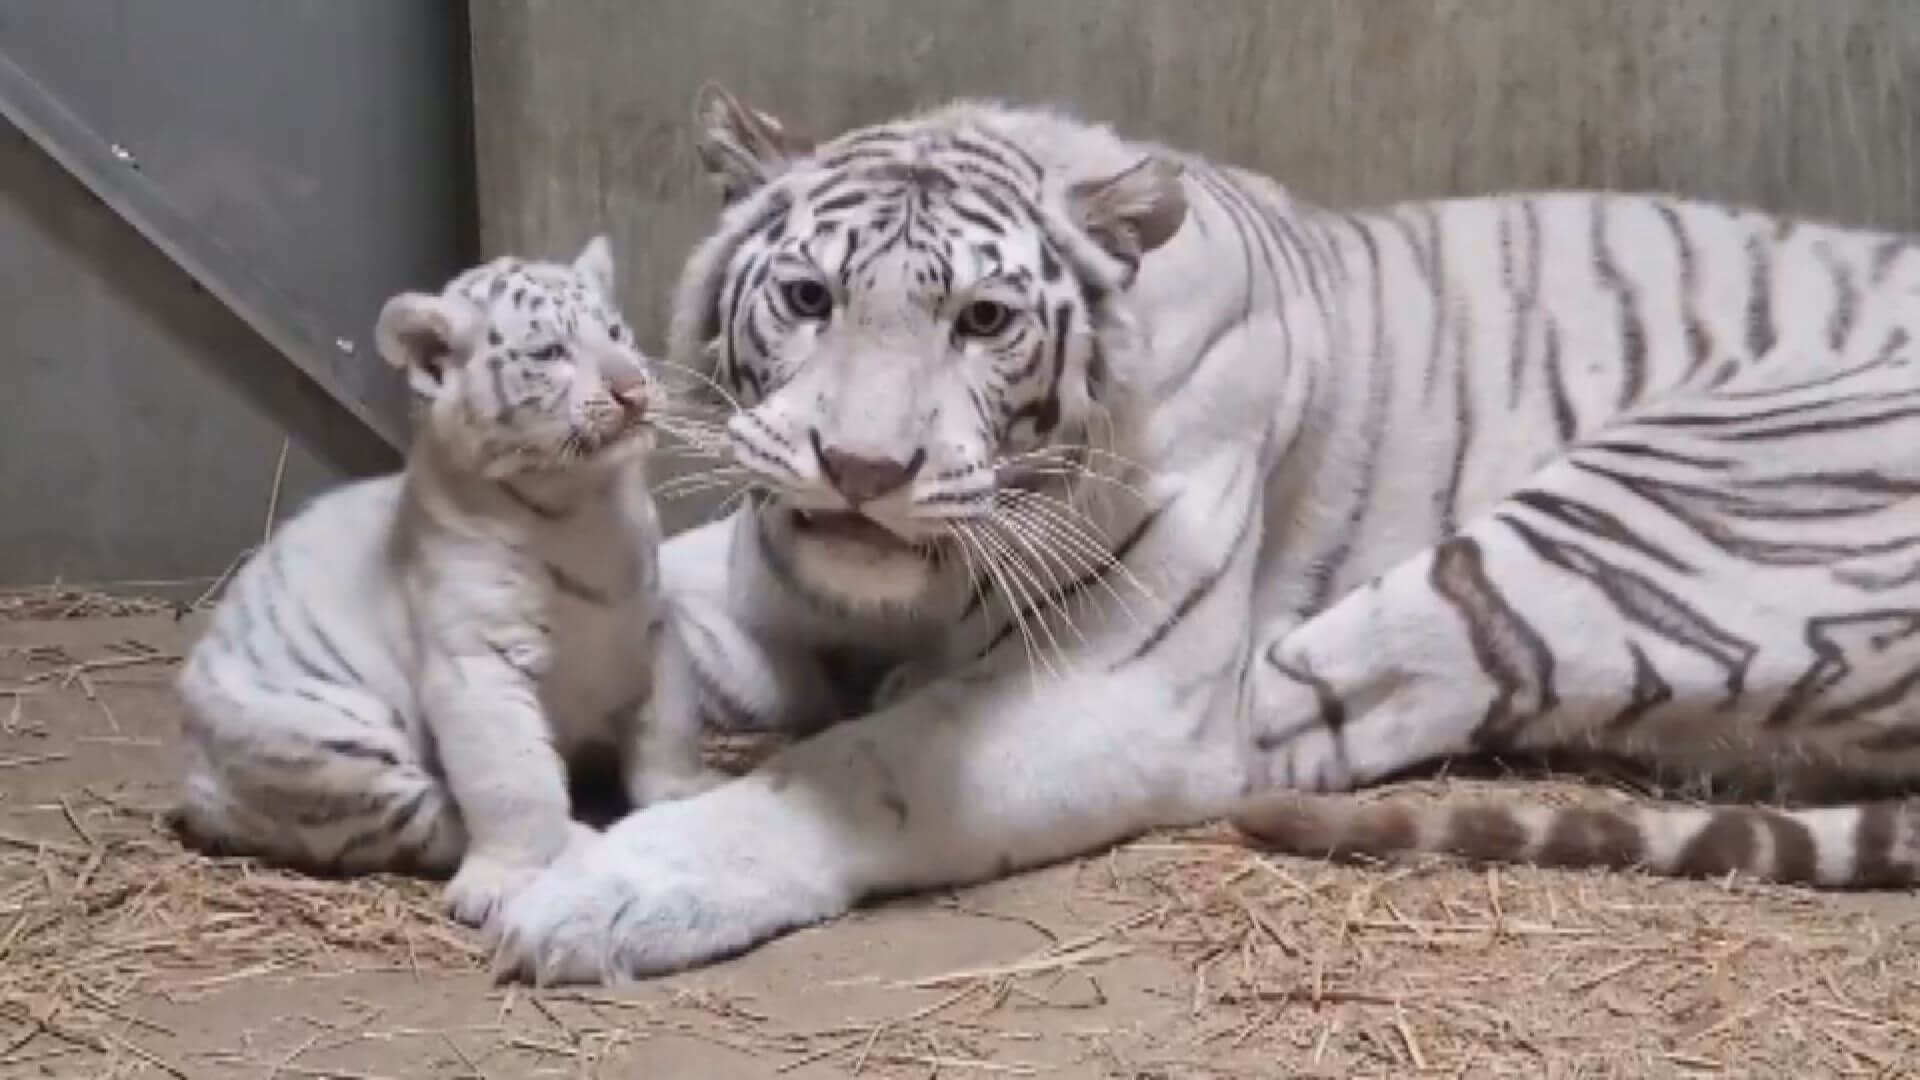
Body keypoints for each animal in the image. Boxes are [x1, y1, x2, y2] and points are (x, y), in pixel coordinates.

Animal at [167, 237, 714, 926]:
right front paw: (513, 877)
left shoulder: (651, 627)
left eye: (615, 333)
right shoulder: (478, 664)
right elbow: (513, 781)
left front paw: (685, 794)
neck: (580, 504)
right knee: (427, 816)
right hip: (322, 746)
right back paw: (572, 843)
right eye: (549, 353)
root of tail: (191, 773)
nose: (634, 389)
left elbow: (668, 724)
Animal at [487, 85, 1920, 983]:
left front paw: (600, 890)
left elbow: (858, 771)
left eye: (985, 321)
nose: (864, 468)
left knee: (1312, 710)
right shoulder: (766, 582)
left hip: (1639, 502)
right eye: (805, 298)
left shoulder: (1117, 693)